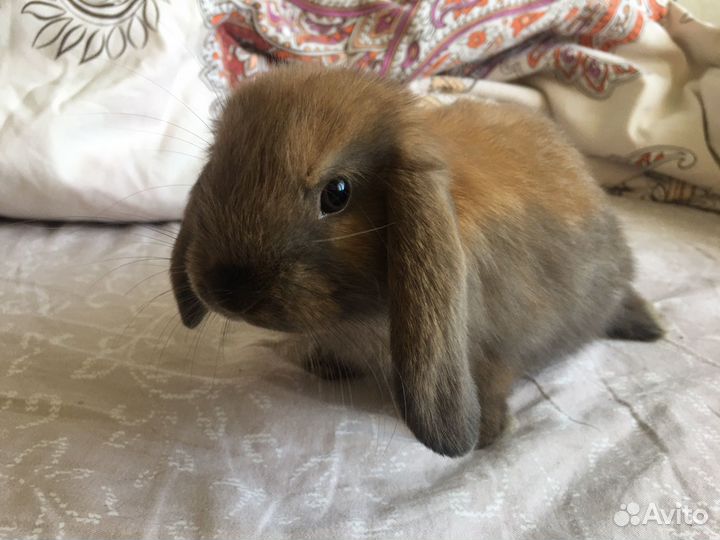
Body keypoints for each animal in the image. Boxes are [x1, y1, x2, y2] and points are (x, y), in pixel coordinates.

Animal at [170, 64, 664, 457]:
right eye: (219, 165)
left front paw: (484, 435)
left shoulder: (499, 346)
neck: (358, 320)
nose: (228, 289)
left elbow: (495, 376)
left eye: (337, 193)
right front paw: (322, 364)